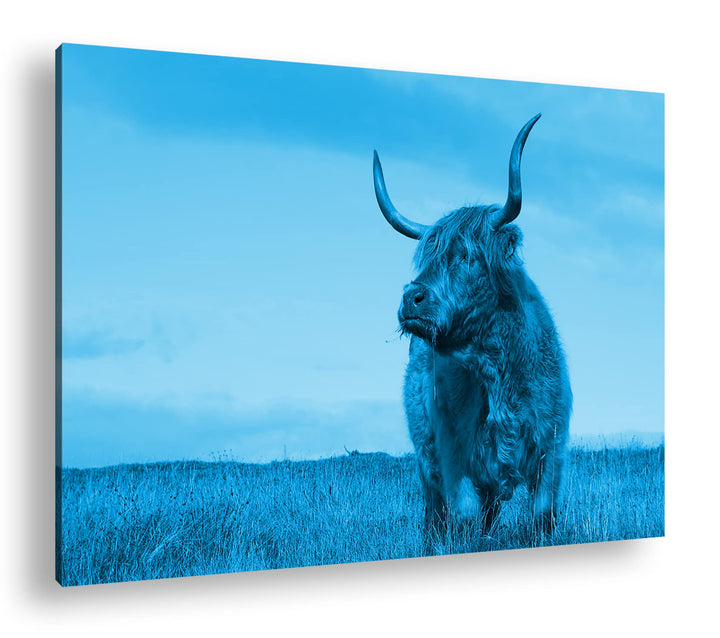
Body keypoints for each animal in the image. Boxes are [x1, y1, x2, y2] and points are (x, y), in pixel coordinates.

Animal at [373, 114, 572, 553]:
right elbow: (462, 516)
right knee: (437, 515)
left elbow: (542, 515)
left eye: (467, 255)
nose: (411, 297)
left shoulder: (552, 446)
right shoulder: (454, 453)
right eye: (425, 257)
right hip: (426, 465)